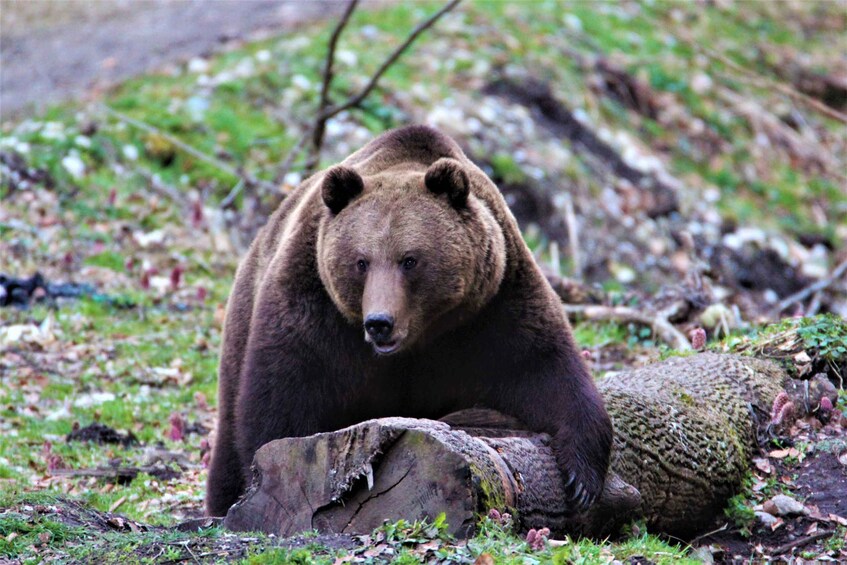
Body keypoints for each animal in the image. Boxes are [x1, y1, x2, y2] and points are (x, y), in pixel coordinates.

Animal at [208, 125, 612, 516]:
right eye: (360, 261)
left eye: (410, 259)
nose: (379, 322)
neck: (419, 339)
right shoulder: (314, 306)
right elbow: (284, 393)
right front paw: (274, 475)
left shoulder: (493, 307)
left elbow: (544, 368)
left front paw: (581, 479)